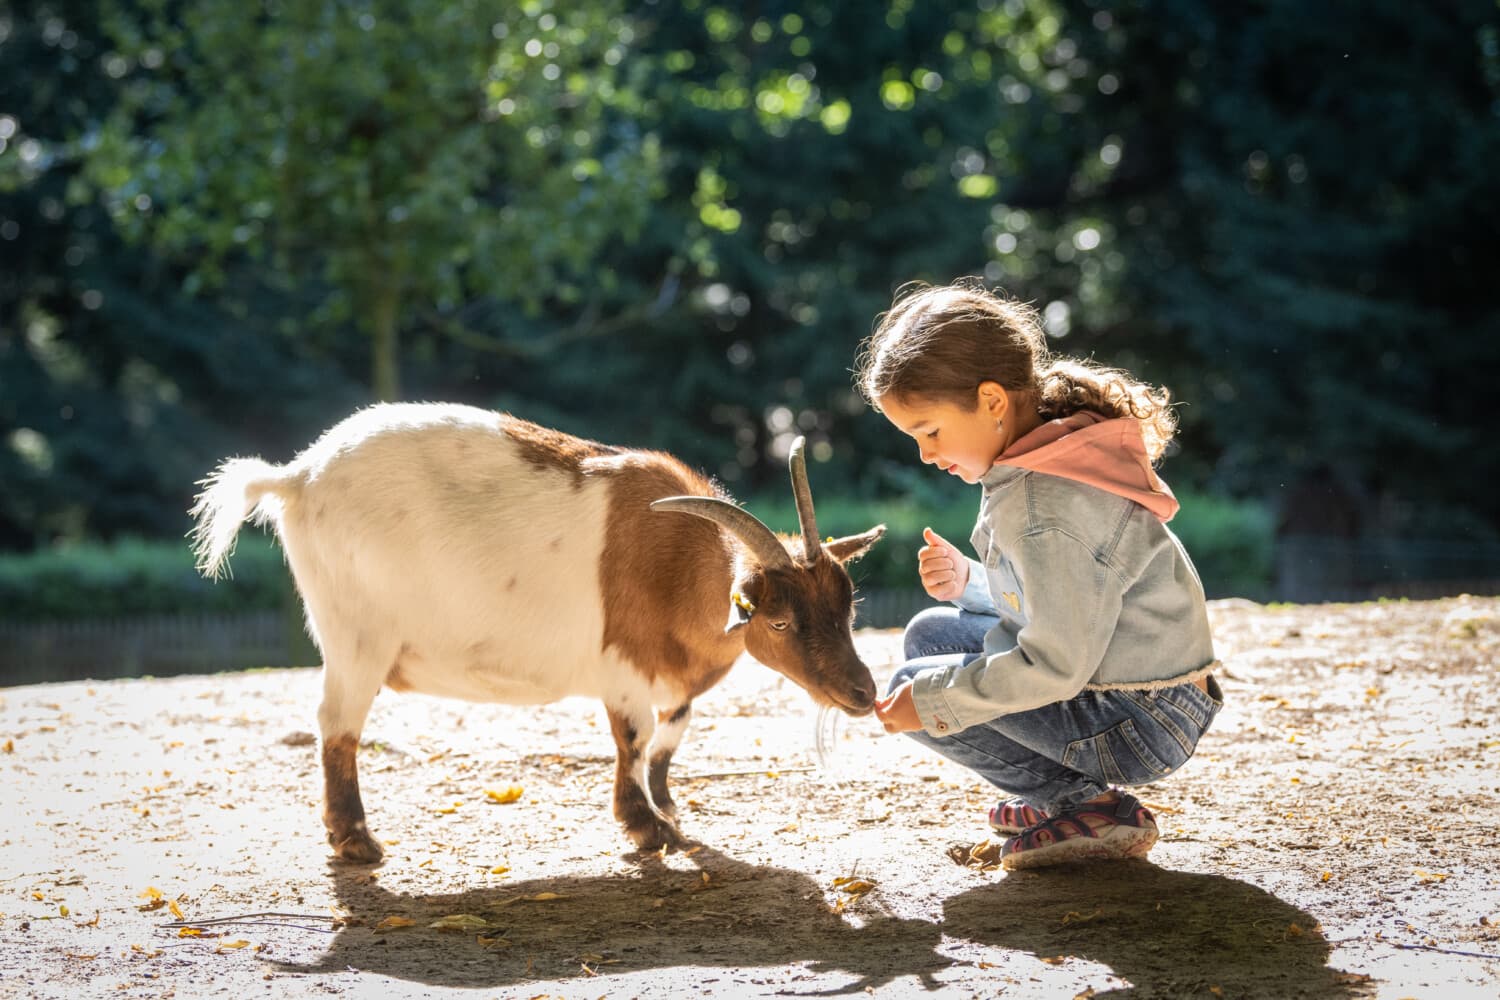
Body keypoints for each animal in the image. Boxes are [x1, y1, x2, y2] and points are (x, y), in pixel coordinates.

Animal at [193, 401, 882, 863]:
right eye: (780, 620)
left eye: (848, 606)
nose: (864, 694)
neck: (681, 562)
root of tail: (296, 476)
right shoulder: (623, 667)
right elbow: (635, 738)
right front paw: (646, 829)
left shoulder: (673, 682)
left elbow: (670, 737)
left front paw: (666, 808)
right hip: (356, 637)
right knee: (336, 726)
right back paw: (357, 841)